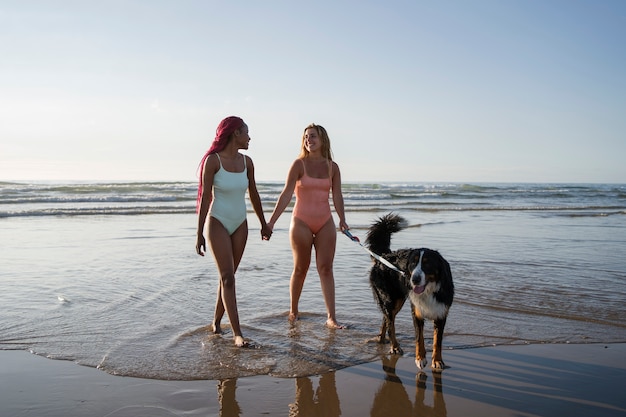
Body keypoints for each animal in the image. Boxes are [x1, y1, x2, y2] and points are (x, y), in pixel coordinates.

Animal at [364, 213, 450, 368]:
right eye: (413, 263)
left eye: (427, 264)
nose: (414, 279)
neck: (428, 291)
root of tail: (384, 256)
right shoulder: (416, 312)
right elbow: (419, 338)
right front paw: (420, 358)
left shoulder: (441, 312)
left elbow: (437, 341)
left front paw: (437, 360)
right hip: (391, 299)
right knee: (390, 323)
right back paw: (394, 346)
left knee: (386, 320)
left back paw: (382, 340)